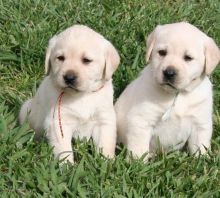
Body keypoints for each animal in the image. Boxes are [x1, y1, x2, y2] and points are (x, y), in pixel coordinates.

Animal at [19, 24, 120, 162]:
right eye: (60, 58)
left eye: (86, 60)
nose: (69, 77)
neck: (82, 96)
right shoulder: (58, 122)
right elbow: (63, 149)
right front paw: (67, 165)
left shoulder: (104, 119)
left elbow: (105, 144)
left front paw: (106, 162)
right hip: (26, 109)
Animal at [115, 22, 220, 161]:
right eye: (162, 52)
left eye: (188, 58)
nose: (169, 73)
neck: (178, 95)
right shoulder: (141, 120)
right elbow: (139, 147)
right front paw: (136, 162)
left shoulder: (200, 123)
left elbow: (200, 146)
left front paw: (202, 160)